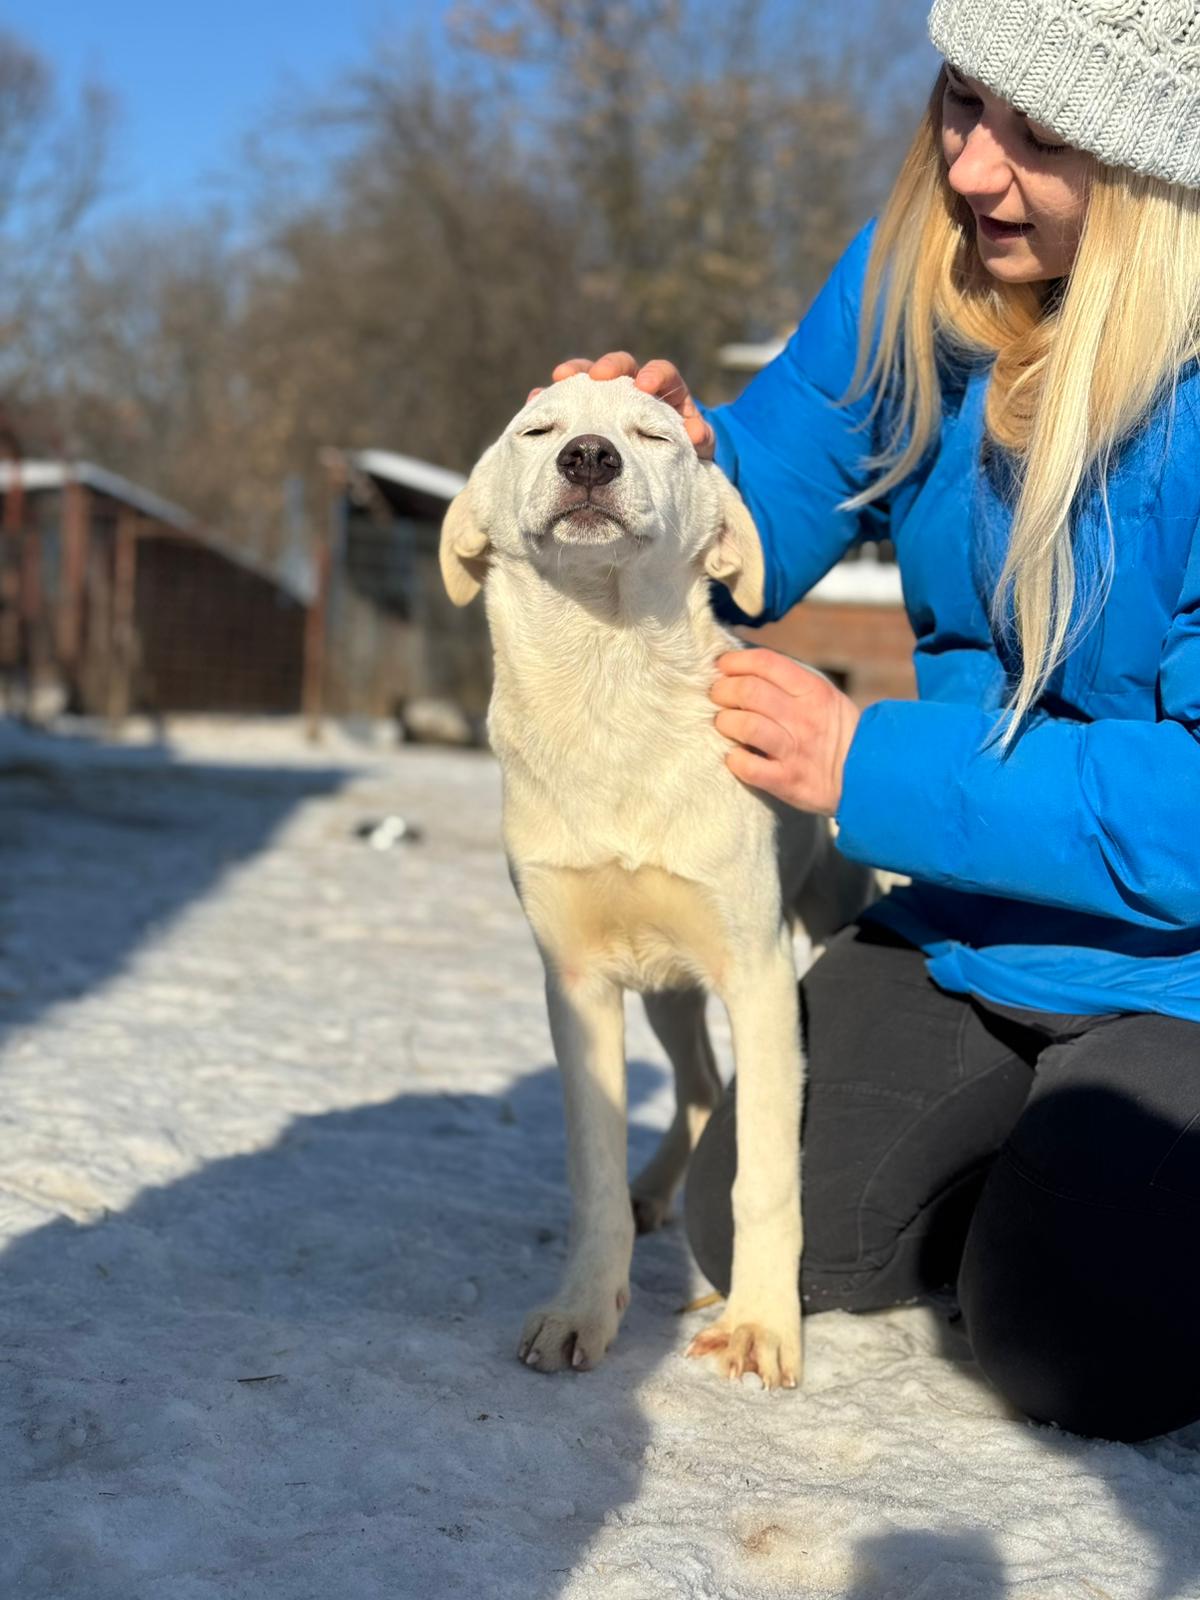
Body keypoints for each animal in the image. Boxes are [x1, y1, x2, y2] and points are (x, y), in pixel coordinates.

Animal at [439, 374, 871, 1388]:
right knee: (701, 1086)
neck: (609, 697)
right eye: (537, 429)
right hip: (669, 989)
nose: (589, 457)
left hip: (812, 922)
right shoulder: (577, 984)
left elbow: (763, 1174)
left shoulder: (760, 981)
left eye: (652, 433)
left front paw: (760, 1326)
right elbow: (591, 1173)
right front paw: (581, 1312)